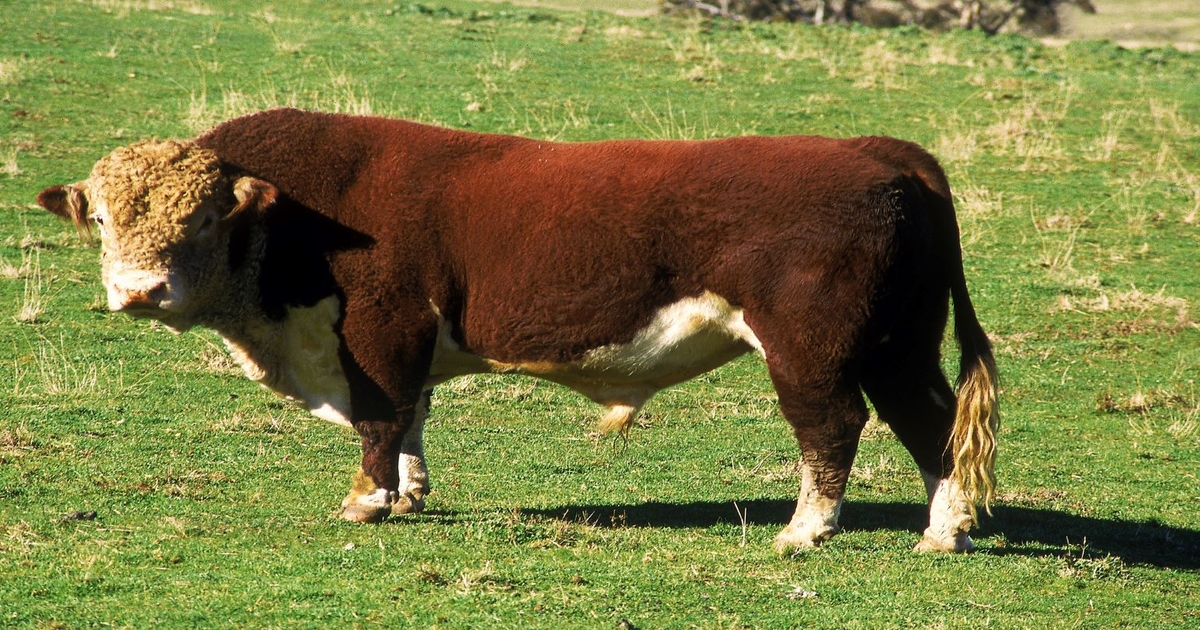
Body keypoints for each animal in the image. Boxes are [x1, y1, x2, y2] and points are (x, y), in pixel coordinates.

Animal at [36, 108, 998, 553]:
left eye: (201, 221)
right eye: (103, 221)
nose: (138, 291)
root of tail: (874, 149)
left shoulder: (379, 330)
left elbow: (381, 417)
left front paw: (366, 502)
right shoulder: (403, 348)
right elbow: (413, 417)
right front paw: (410, 492)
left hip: (811, 350)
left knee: (833, 427)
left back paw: (804, 531)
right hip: (899, 345)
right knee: (930, 424)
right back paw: (942, 530)